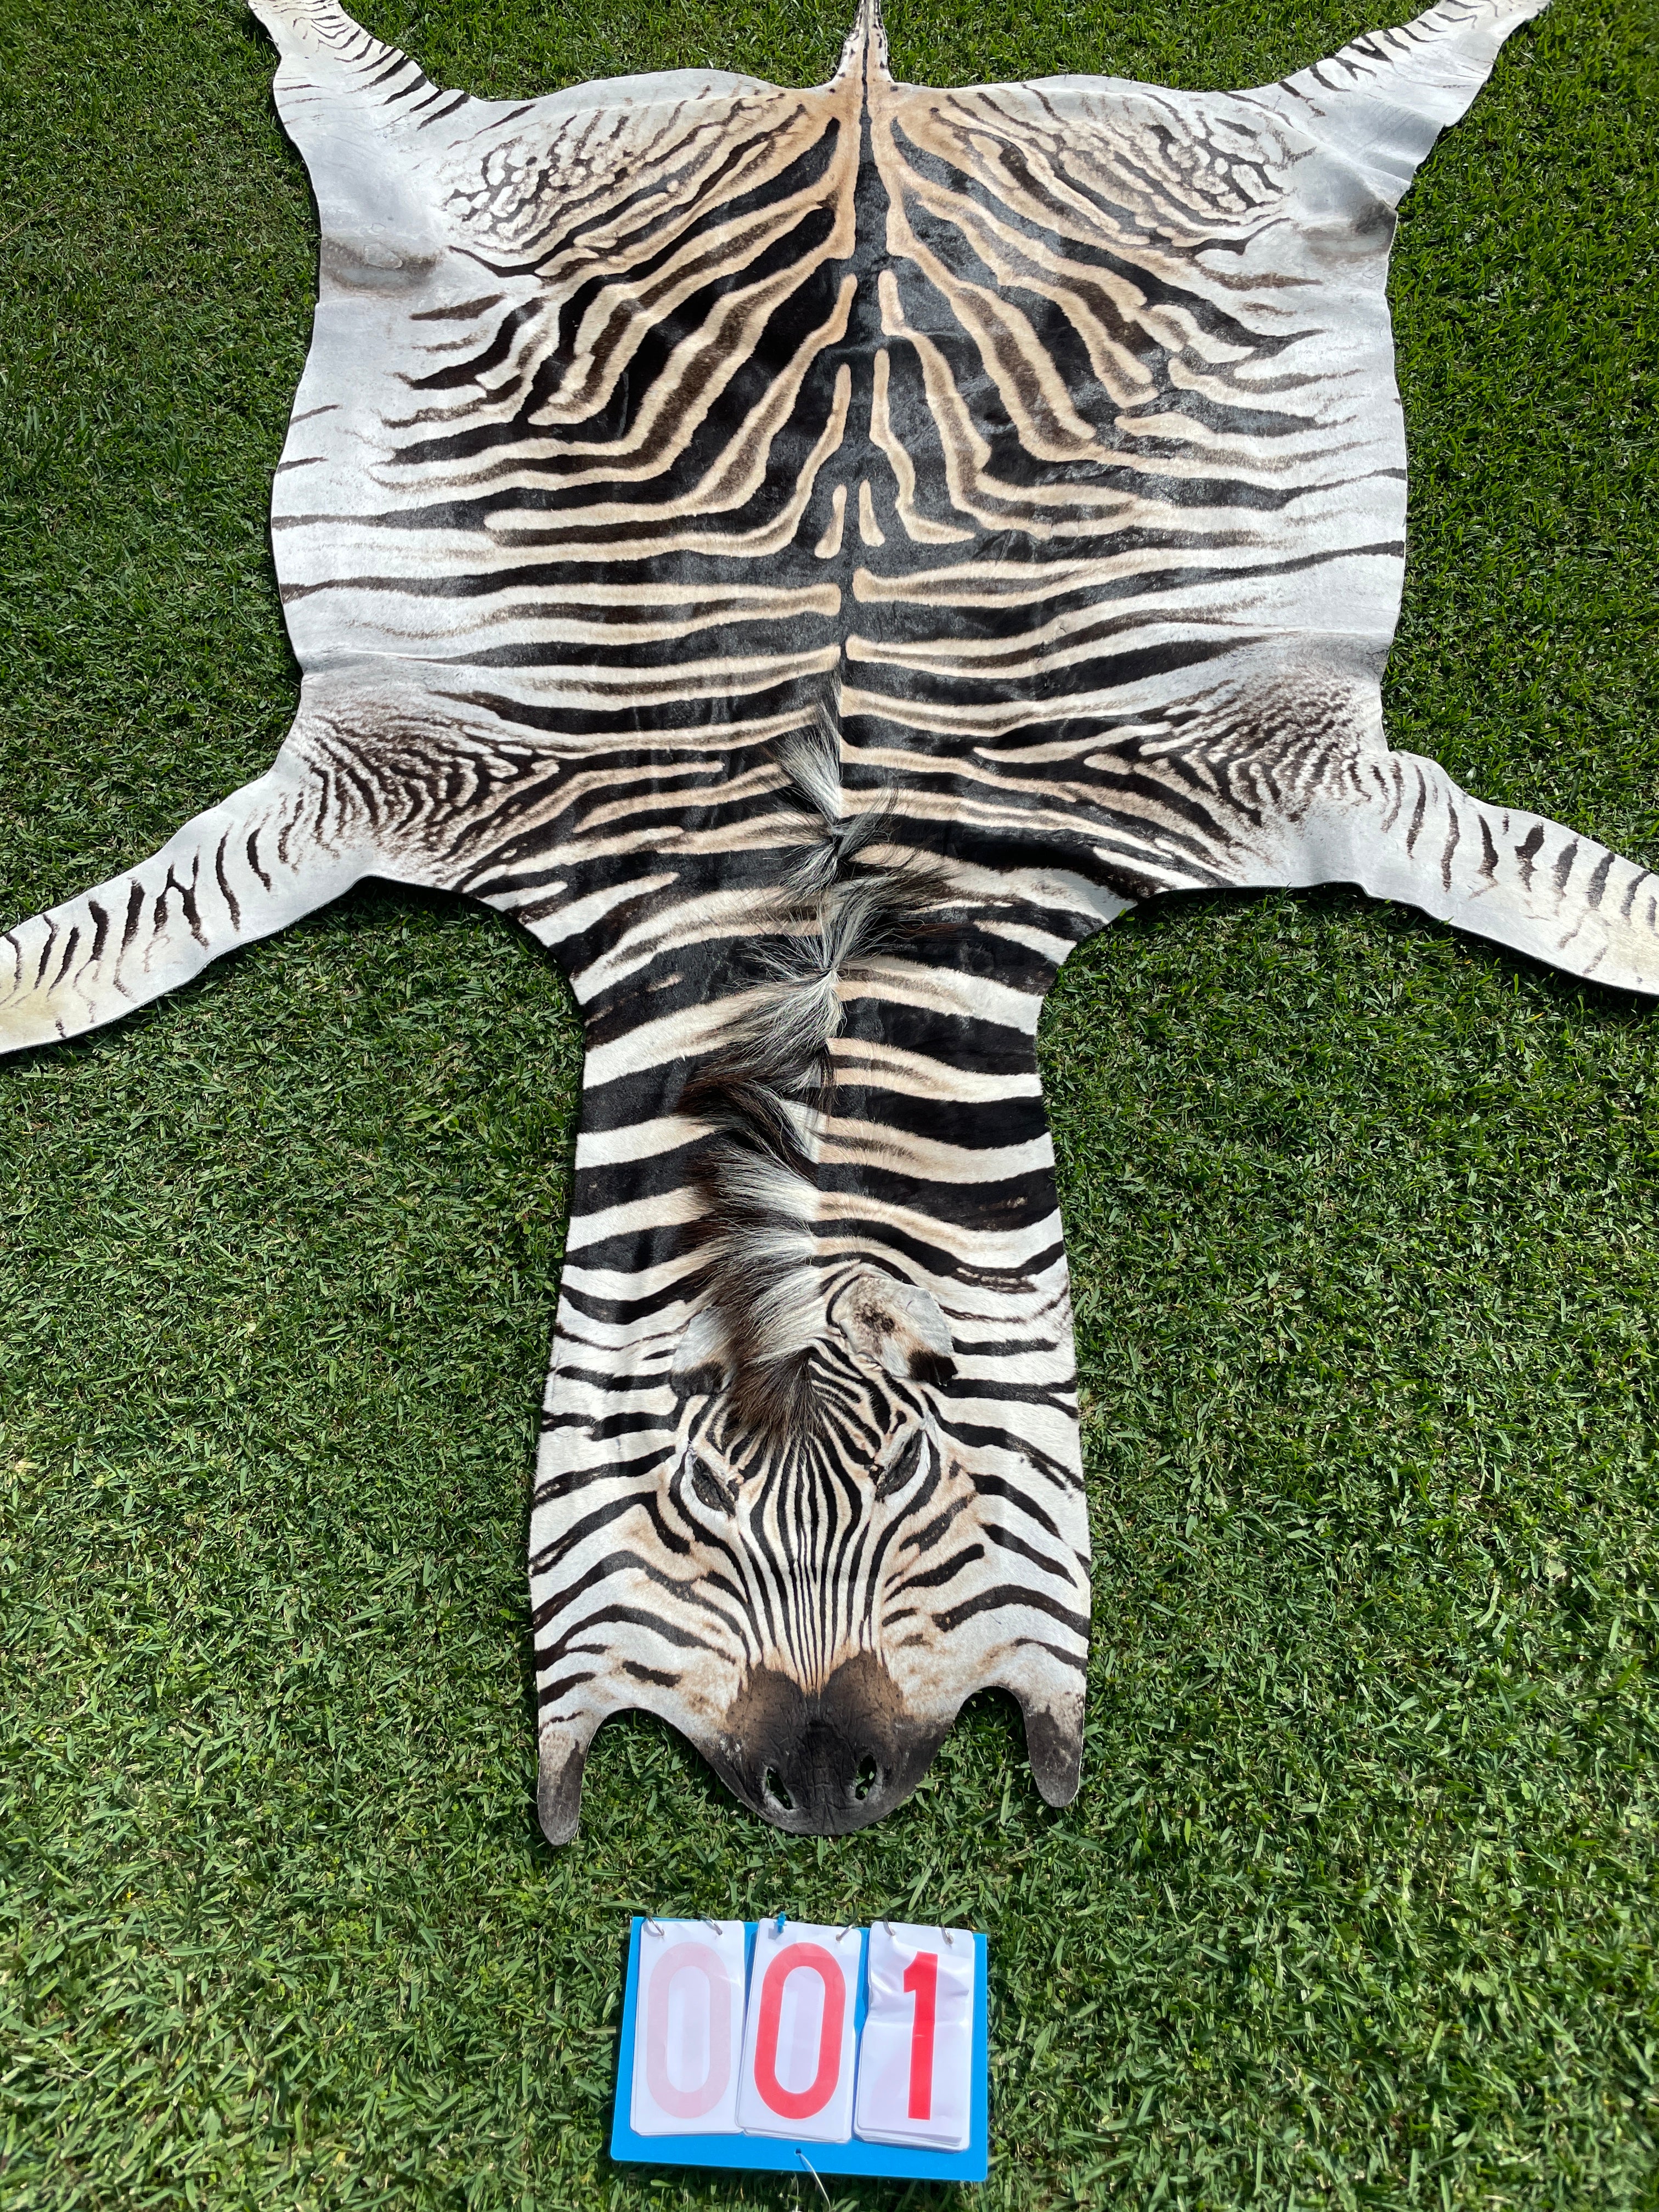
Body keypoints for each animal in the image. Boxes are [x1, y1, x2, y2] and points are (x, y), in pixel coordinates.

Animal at [2, 0, 1646, 1841]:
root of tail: (861, 95)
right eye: (688, 1508)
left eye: (928, 1484)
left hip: (1277, 176)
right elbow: (111, 946)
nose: (824, 1789)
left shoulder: (1272, 775)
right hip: (431, 200)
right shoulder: (400, 781)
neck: (819, 954)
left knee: (1378, 95)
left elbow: (1574, 897)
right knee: (345, 84)